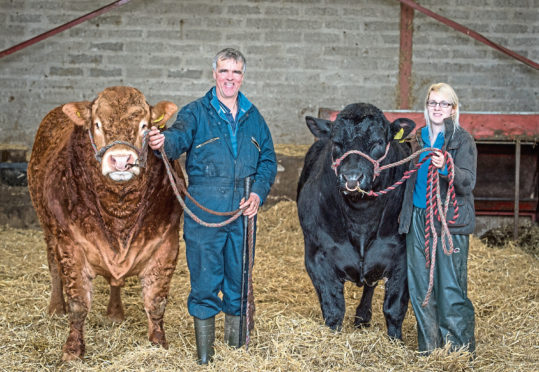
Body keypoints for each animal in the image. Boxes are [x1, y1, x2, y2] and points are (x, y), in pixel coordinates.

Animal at [26, 86, 184, 360]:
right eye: (97, 124)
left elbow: (156, 301)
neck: (120, 214)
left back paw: (115, 313)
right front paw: (72, 350)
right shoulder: (70, 245)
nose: (121, 160)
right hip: (47, 228)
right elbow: (78, 303)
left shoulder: (167, 243)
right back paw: (56, 308)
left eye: (145, 126)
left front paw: (158, 342)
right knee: (53, 267)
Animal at [298, 102, 416, 340]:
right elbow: (333, 308)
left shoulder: (401, 256)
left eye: (378, 142)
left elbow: (394, 308)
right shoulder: (316, 255)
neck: (361, 218)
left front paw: (396, 341)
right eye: (336, 142)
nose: (352, 178)